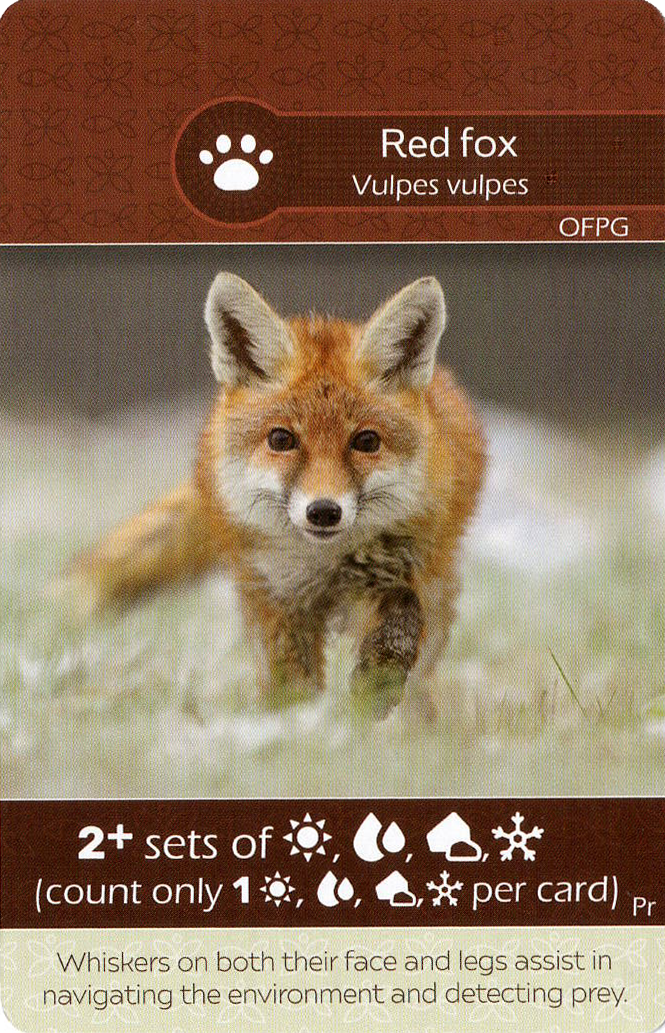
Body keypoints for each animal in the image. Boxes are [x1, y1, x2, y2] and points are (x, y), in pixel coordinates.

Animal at [65, 273, 485, 719]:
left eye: (366, 441)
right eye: (281, 439)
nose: (324, 511)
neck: (325, 566)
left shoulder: (403, 569)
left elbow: (403, 611)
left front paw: (375, 684)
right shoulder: (278, 596)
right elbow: (291, 681)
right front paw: (298, 726)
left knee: (425, 665)